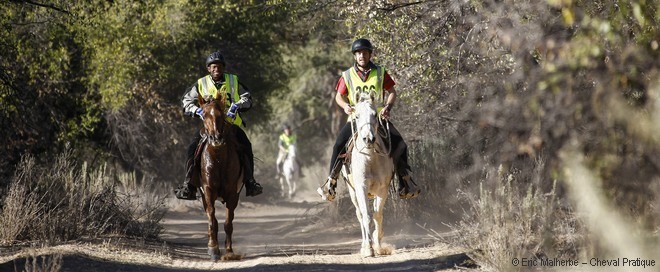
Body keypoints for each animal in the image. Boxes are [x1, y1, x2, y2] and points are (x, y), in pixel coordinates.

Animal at [199, 91, 248, 262]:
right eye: (204, 115)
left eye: (221, 115)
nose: (216, 138)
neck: (219, 158)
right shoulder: (207, 190)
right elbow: (212, 219)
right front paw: (213, 249)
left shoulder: (233, 193)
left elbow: (228, 223)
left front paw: (229, 251)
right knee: (210, 217)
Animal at [342, 93, 394, 258]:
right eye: (357, 116)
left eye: (375, 115)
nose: (368, 139)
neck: (370, 158)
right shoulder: (361, 188)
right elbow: (367, 216)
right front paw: (369, 249)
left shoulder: (383, 189)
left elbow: (378, 215)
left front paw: (379, 245)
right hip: (353, 192)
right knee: (360, 215)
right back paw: (365, 245)